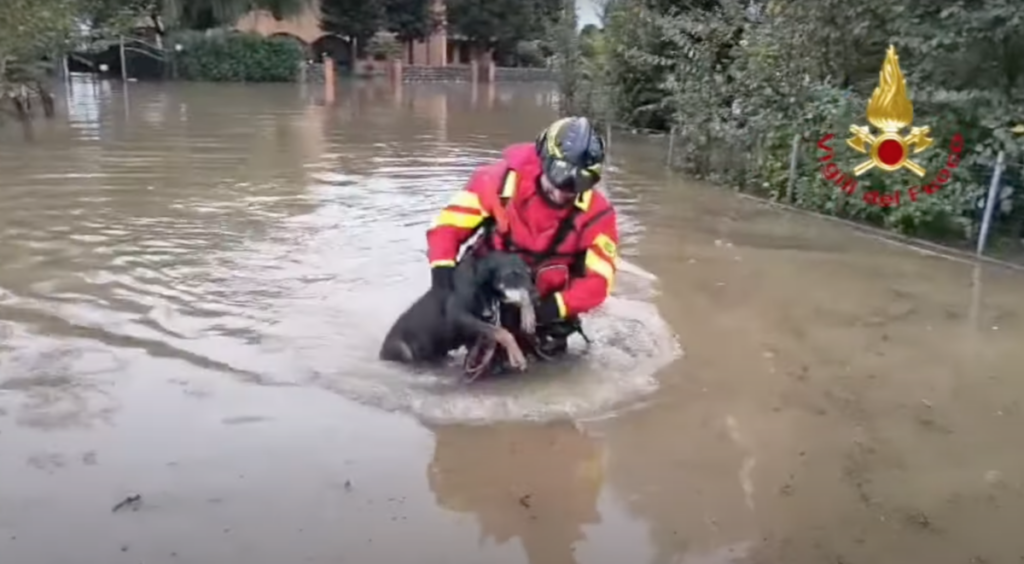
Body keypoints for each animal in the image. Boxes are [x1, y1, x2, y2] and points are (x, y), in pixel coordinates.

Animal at [376, 252, 536, 370]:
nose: (534, 292)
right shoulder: (459, 316)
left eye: (528, 272)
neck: (481, 285)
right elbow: (503, 333)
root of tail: (381, 354)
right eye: (511, 274)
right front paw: (516, 355)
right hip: (403, 350)